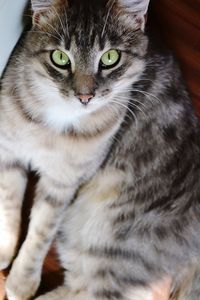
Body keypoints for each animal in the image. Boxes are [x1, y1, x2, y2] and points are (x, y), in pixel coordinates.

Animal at [1, 0, 200, 300]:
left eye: (110, 58)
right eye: (60, 58)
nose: (85, 97)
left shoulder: (62, 185)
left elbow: (39, 234)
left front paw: (21, 280)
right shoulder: (9, 155)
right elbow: (10, 208)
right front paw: (4, 250)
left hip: (115, 246)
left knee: (93, 291)